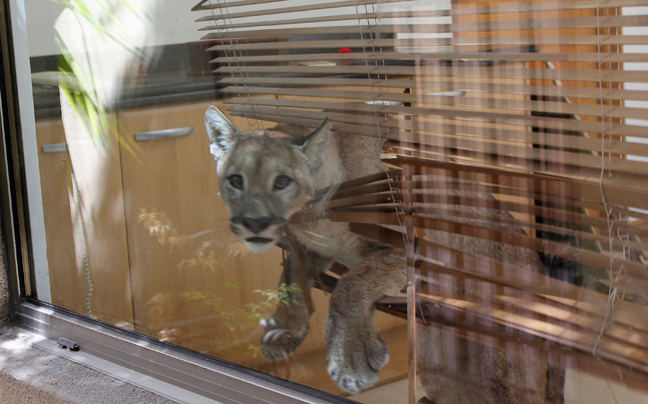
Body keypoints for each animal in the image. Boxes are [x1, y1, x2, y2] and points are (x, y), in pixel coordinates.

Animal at [204, 105, 560, 402]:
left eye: (281, 182)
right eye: (236, 180)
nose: (253, 222)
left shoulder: (408, 249)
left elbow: (353, 283)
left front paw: (350, 359)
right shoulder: (312, 248)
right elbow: (291, 279)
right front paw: (283, 331)